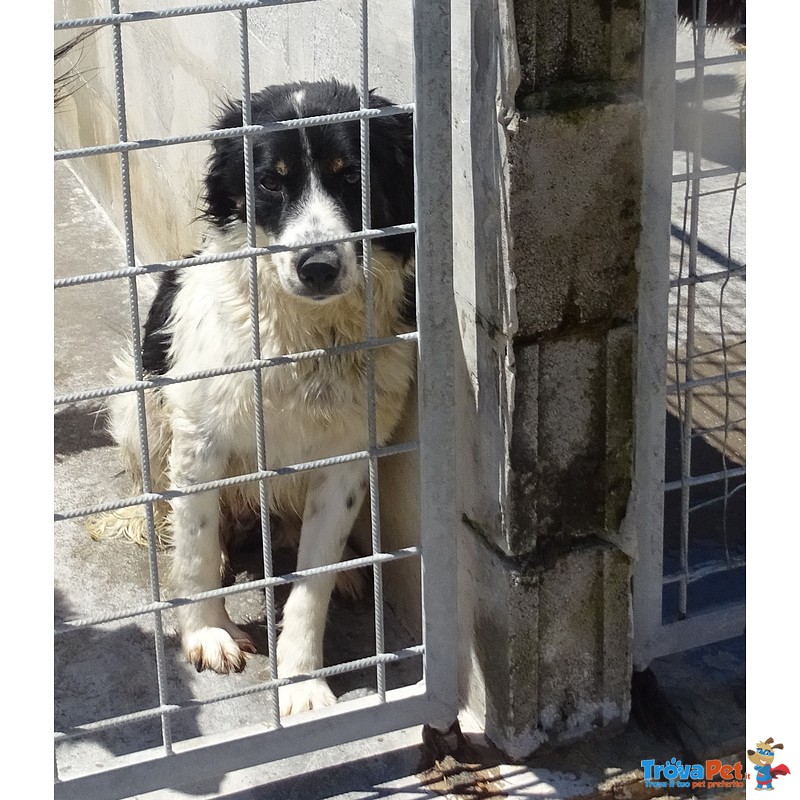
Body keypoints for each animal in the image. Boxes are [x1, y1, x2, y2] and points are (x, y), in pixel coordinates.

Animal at [93, 81, 416, 716]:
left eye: (351, 175)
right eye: (270, 181)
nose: (317, 266)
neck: (305, 339)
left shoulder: (348, 457)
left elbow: (312, 585)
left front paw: (303, 682)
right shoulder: (201, 439)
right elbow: (194, 547)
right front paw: (208, 632)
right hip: (138, 411)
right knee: (182, 515)